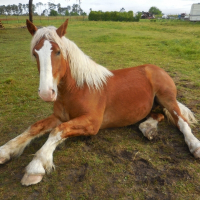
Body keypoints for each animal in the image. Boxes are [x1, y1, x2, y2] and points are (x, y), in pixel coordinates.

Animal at [0, 19, 200, 186]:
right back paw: (148, 129)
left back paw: (195, 146)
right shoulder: (59, 117)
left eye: (58, 52)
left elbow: (57, 131)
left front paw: (36, 166)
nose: (46, 93)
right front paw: (5, 151)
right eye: (35, 54)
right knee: (157, 115)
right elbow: (35, 128)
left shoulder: (92, 122)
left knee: (181, 122)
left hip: (167, 98)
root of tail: (156, 68)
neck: (78, 89)